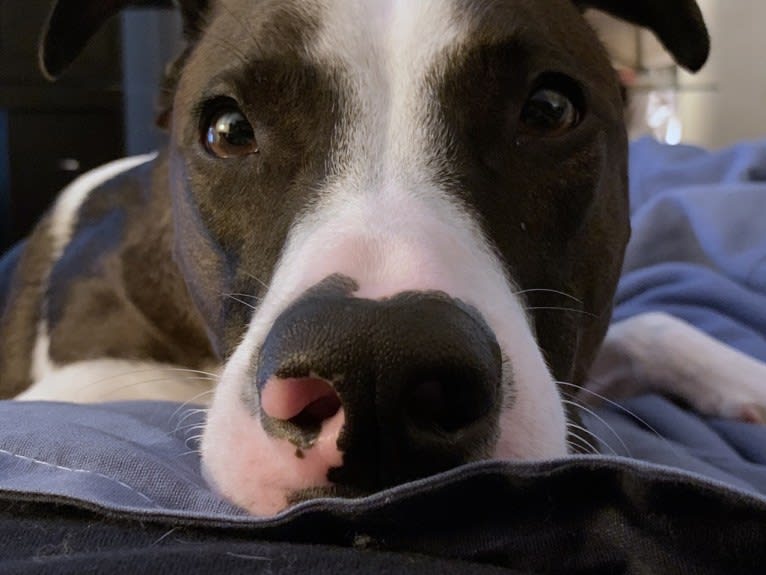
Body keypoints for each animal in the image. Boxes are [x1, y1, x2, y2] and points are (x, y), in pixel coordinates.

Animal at [1, 0, 752, 516]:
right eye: (228, 128)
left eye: (548, 108)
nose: (376, 369)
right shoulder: (77, 385)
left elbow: (654, 327)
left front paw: (749, 384)